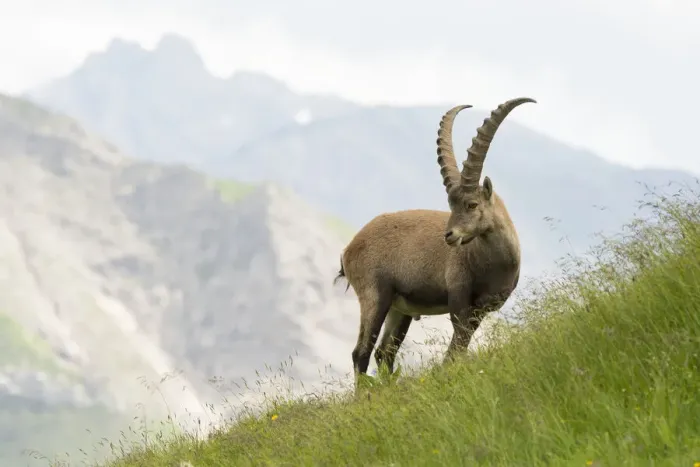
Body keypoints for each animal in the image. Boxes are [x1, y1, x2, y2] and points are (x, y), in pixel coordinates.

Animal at [334, 97, 536, 381]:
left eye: (472, 204)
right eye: (451, 205)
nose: (449, 236)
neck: (494, 263)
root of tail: (349, 249)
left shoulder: (481, 309)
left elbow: (461, 344)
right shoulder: (459, 298)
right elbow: (456, 347)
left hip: (400, 309)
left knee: (385, 352)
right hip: (375, 295)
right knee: (361, 352)